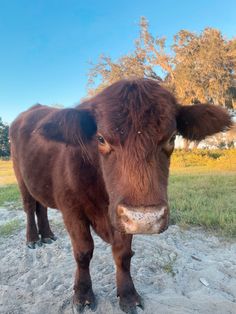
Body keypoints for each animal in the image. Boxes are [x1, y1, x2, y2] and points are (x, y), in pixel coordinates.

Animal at [10, 78, 231, 312]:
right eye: (100, 138)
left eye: (172, 138)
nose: (146, 218)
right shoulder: (72, 211)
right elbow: (83, 252)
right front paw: (82, 295)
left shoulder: (121, 216)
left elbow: (123, 255)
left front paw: (128, 295)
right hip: (21, 178)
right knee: (29, 207)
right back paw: (33, 239)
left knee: (41, 206)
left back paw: (47, 235)